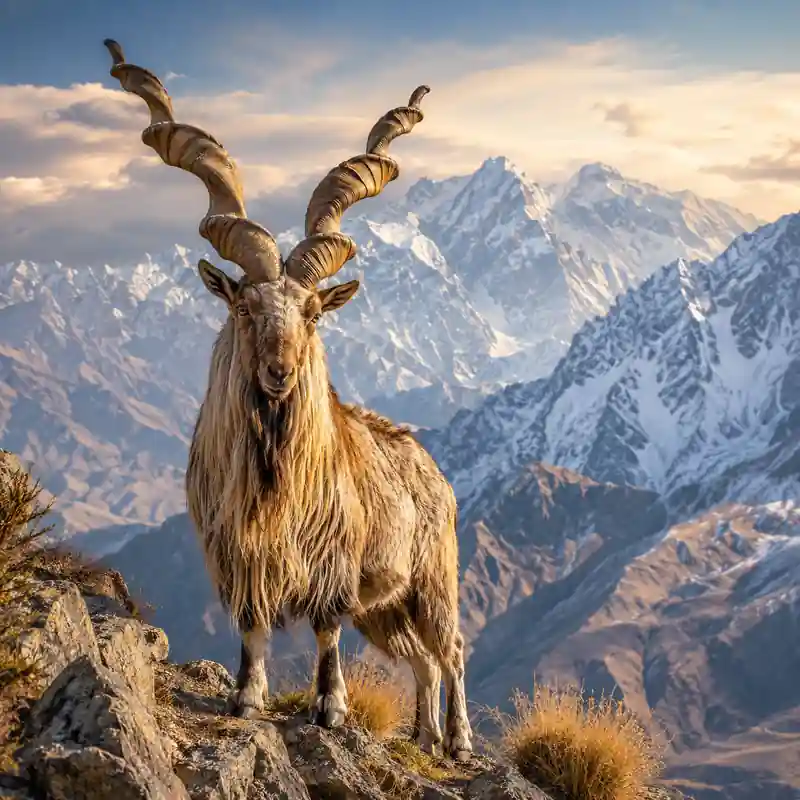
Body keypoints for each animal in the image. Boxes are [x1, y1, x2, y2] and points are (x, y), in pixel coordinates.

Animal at [105, 39, 472, 759]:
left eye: (312, 312)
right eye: (245, 307)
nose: (279, 372)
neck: (277, 482)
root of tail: (433, 470)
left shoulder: (335, 568)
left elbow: (326, 635)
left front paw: (329, 709)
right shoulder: (239, 559)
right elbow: (254, 627)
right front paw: (247, 699)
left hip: (432, 578)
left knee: (452, 650)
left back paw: (461, 742)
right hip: (387, 608)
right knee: (420, 660)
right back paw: (423, 734)